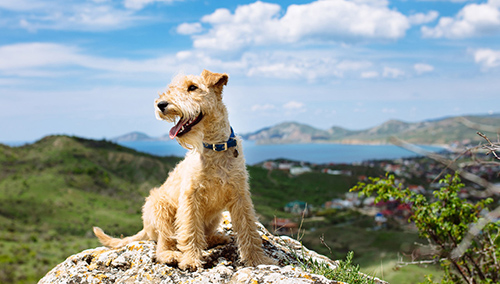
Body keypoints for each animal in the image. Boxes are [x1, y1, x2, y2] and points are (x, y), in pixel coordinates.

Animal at [93, 69, 274, 270]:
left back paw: (217, 238)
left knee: (202, 236)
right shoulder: (190, 197)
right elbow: (190, 230)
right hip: (161, 209)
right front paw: (190, 260)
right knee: (164, 245)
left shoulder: (240, 196)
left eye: (192, 87)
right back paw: (172, 255)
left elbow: (249, 229)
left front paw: (258, 260)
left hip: (213, 218)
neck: (214, 147)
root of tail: (145, 227)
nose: (161, 104)